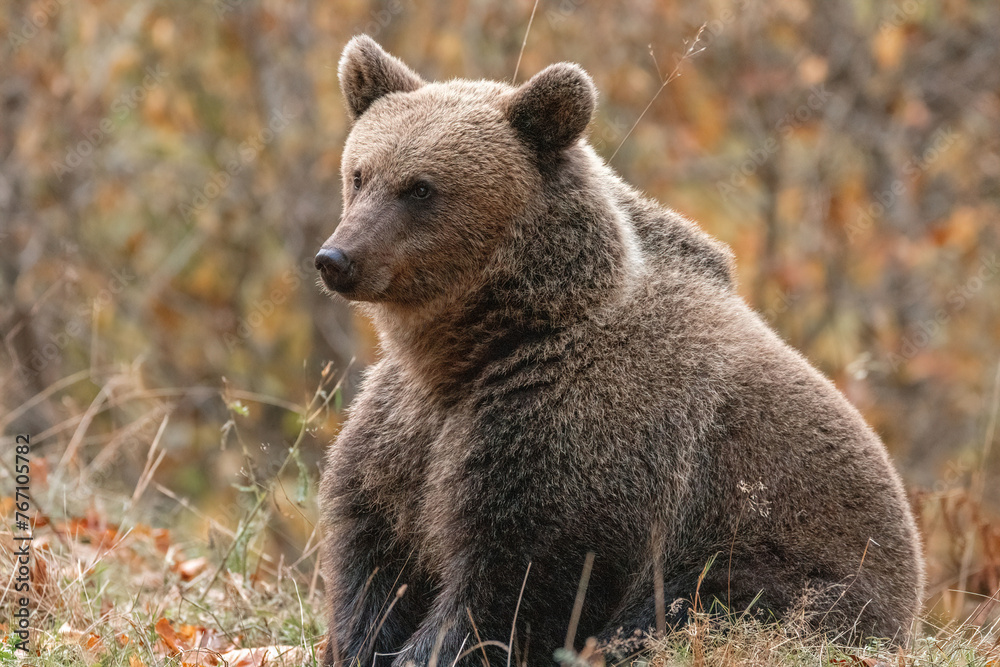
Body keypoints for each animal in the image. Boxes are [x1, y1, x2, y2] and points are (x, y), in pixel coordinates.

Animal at [315, 35, 924, 667]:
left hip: (795, 568)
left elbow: (517, 577)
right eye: (360, 174)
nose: (337, 258)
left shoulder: (576, 429)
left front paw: (434, 648)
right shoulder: (405, 431)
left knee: (700, 604)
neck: (479, 346)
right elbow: (374, 554)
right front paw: (361, 641)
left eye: (421, 188)